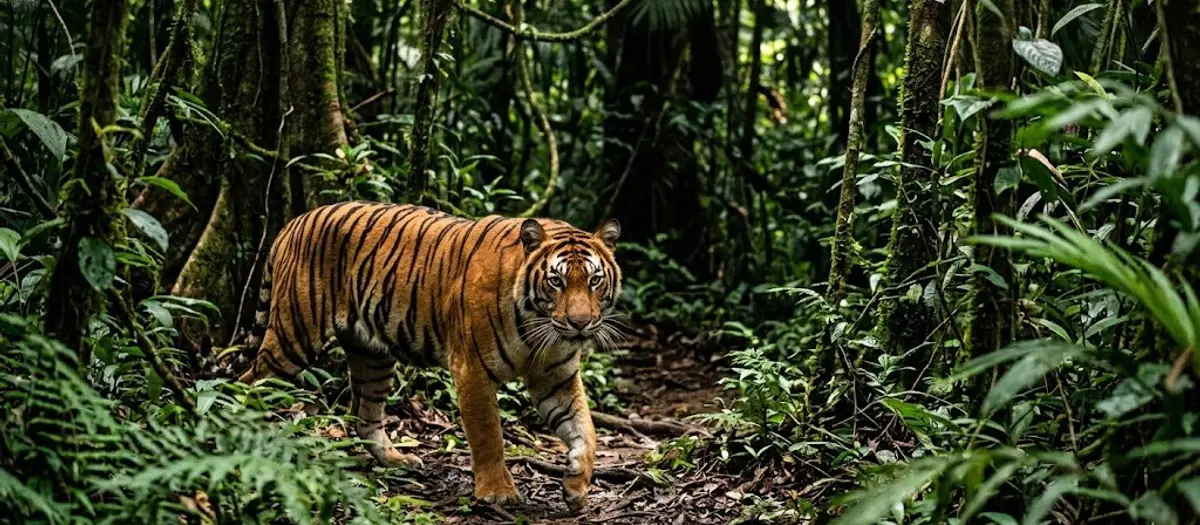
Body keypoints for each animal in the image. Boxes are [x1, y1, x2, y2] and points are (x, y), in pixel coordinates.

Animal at [237, 202, 623, 511]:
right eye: (556, 282)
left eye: (594, 280)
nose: (580, 323)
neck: (539, 328)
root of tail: (294, 221)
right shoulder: (472, 370)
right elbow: (488, 435)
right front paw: (497, 492)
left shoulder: (556, 378)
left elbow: (586, 430)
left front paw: (576, 486)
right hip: (294, 335)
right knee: (250, 382)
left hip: (373, 356)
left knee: (366, 415)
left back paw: (396, 459)